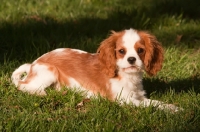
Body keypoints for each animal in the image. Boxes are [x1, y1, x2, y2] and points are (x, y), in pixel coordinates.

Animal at [11, 28, 180, 111]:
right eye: (121, 51)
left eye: (140, 50)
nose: (131, 59)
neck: (126, 75)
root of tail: (32, 65)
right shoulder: (123, 100)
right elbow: (148, 105)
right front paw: (174, 110)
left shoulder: (138, 96)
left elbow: (155, 102)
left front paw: (173, 107)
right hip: (49, 71)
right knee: (22, 85)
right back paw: (41, 93)